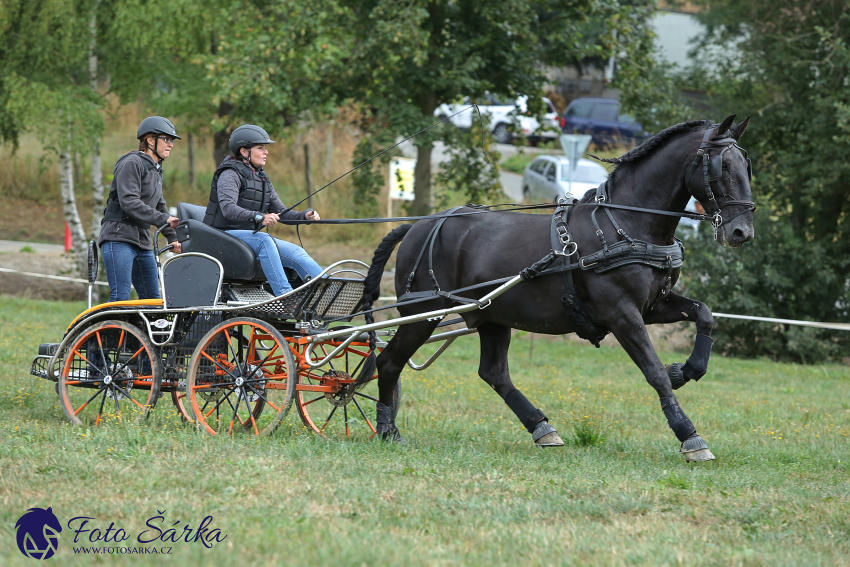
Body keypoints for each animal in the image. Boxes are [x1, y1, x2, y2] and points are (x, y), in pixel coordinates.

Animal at [362, 115, 752, 462]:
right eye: (721, 166)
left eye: (746, 165)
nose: (741, 232)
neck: (625, 224)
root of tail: (418, 225)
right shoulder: (622, 314)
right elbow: (654, 371)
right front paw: (689, 435)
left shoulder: (653, 306)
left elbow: (704, 314)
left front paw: (687, 370)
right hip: (422, 314)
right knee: (389, 361)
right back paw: (387, 429)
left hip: (491, 316)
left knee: (494, 374)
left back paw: (541, 428)